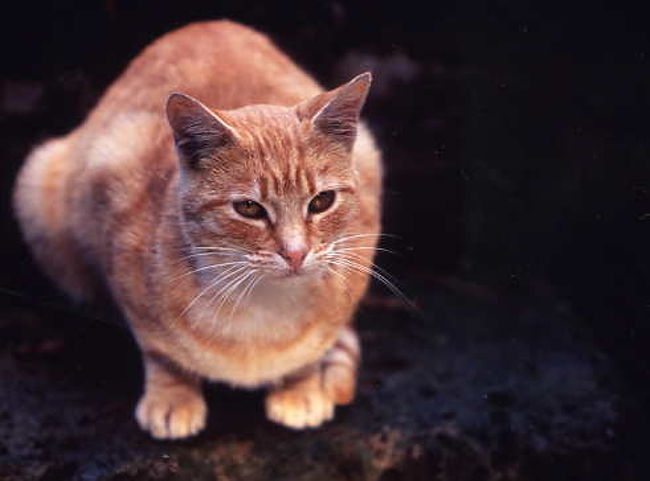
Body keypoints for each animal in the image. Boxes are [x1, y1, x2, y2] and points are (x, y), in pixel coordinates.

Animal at [12, 19, 380, 438]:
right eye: (249, 208)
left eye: (321, 202)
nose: (295, 252)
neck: (263, 306)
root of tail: (207, 24)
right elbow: (160, 350)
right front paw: (172, 396)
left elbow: (315, 348)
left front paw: (299, 385)